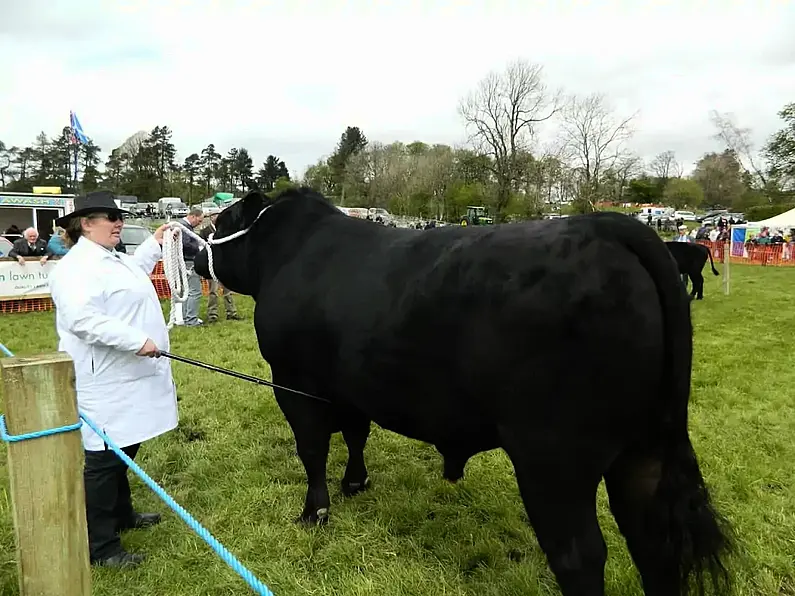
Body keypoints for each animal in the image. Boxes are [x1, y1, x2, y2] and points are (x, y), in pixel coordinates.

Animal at [194, 190, 732, 596]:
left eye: (219, 221)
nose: (196, 253)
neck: (290, 255)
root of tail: (613, 227)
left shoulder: (294, 382)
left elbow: (312, 448)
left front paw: (314, 512)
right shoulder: (348, 388)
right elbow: (356, 434)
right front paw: (355, 483)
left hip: (553, 458)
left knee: (580, 555)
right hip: (644, 449)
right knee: (654, 544)